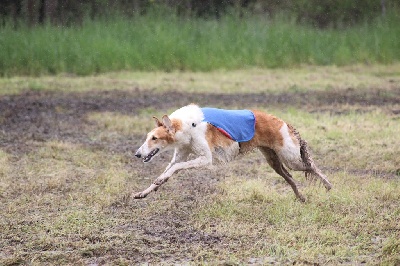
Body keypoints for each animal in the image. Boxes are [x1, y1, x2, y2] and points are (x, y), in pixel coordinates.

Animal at [133, 104, 332, 202]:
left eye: (154, 138)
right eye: (148, 137)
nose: (137, 154)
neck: (186, 124)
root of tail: (284, 122)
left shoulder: (205, 159)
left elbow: (178, 167)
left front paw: (157, 182)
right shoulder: (180, 155)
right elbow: (168, 171)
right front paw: (144, 191)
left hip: (291, 158)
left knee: (311, 166)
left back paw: (328, 185)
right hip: (274, 161)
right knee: (290, 177)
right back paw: (301, 197)